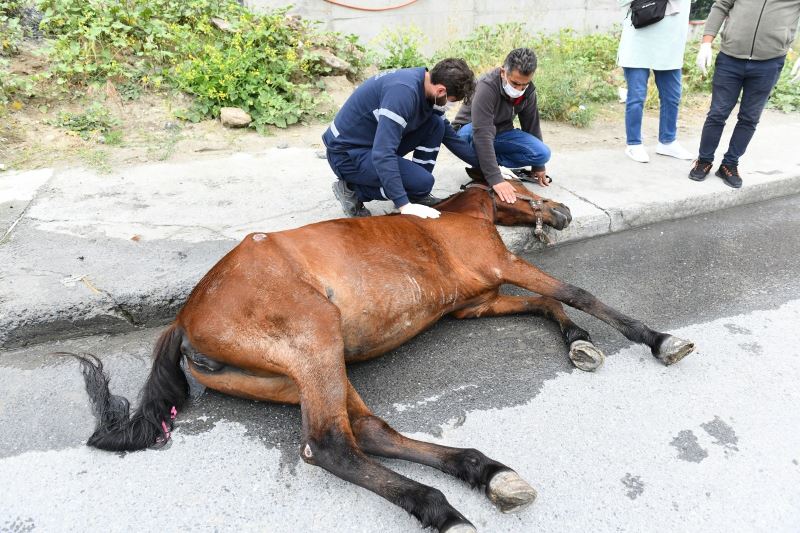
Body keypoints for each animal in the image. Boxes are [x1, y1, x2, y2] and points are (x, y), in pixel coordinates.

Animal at [69, 171, 692, 532]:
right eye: (529, 188)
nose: (562, 212)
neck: (455, 221)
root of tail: (185, 318)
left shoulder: (478, 302)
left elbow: (547, 307)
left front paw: (579, 344)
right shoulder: (505, 265)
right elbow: (574, 294)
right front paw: (657, 339)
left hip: (309, 368)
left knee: (367, 431)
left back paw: (484, 474)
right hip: (317, 338)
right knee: (329, 445)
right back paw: (444, 511)